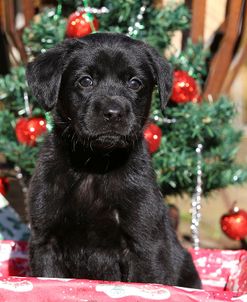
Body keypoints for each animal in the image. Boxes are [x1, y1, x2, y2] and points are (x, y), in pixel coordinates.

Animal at [26, 32, 201, 288]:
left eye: (135, 83)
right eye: (85, 81)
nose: (113, 113)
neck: (94, 164)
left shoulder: (144, 244)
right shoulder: (45, 241)